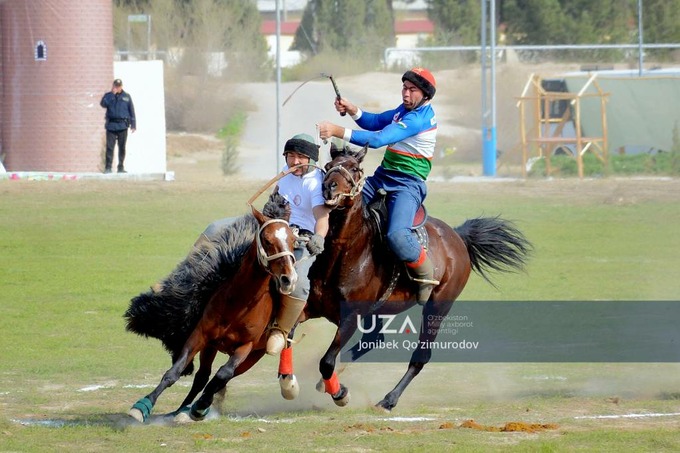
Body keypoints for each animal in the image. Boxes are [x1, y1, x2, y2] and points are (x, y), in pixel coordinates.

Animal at [124, 193, 298, 420]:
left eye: (294, 241)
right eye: (268, 240)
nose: (288, 279)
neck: (239, 303)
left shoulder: (246, 347)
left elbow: (223, 374)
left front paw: (201, 405)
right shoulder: (201, 335)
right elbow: (175, 371)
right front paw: (142, 405)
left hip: (255, 354)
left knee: (221, 378)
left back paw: (198, 406)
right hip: (212, 347)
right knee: (202, 377)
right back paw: (181, 411)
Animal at [294, 144, 532, 410]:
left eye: (354, 168)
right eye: (327, 166)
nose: (329, 187)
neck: (345, 254)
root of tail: (457, 237)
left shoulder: (350, 317)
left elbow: (326, 361)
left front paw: (340, 393)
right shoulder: (310, 307)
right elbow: (285, 337)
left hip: (437, 307)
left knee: (420, 356)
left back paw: (389, 399)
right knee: (374, 340)